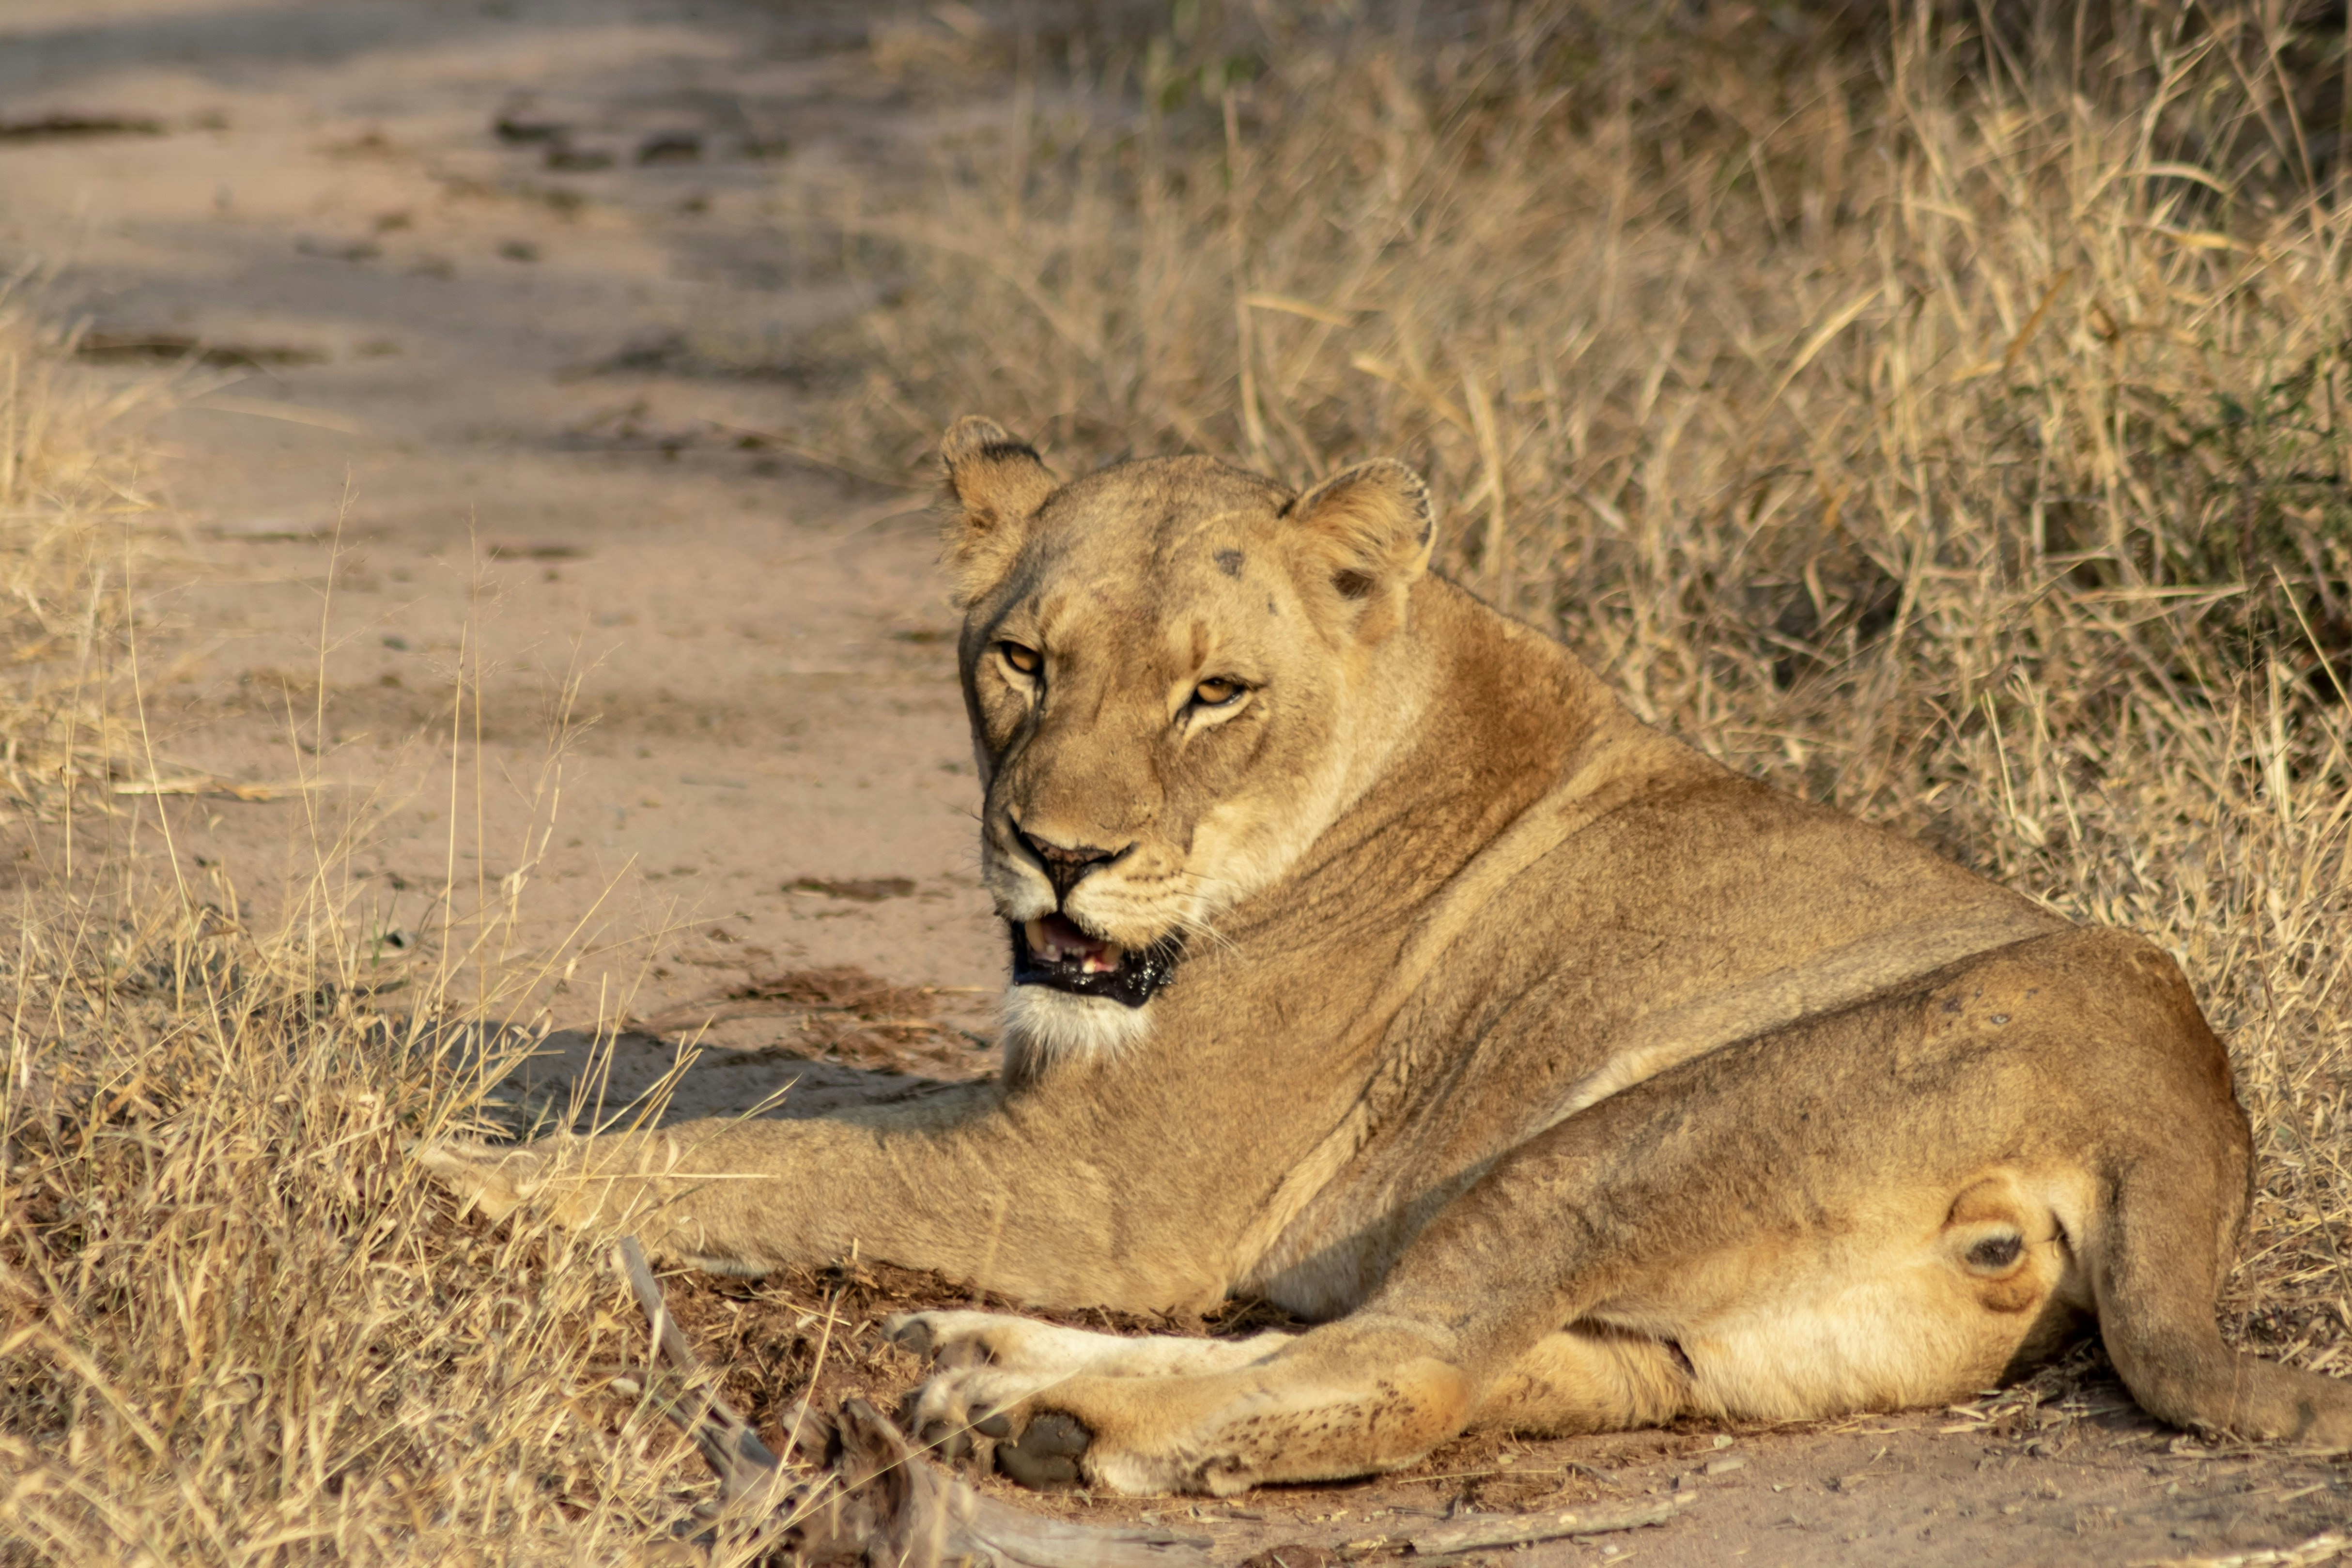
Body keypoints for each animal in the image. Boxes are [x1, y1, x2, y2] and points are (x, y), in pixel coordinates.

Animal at [422, 416, 2352, 1496]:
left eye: (1213, 691)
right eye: (1023, 660)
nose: (1060, 853)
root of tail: (2189, 1112)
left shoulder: (1115, 1193)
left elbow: (772, 1151)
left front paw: (475, 1178)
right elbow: (792, 1092)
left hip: (1616, 1138)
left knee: (1402, 1365)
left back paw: (1061, 1426)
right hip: (1675, 1340)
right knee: (1434, 1366)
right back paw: (991, 1367)